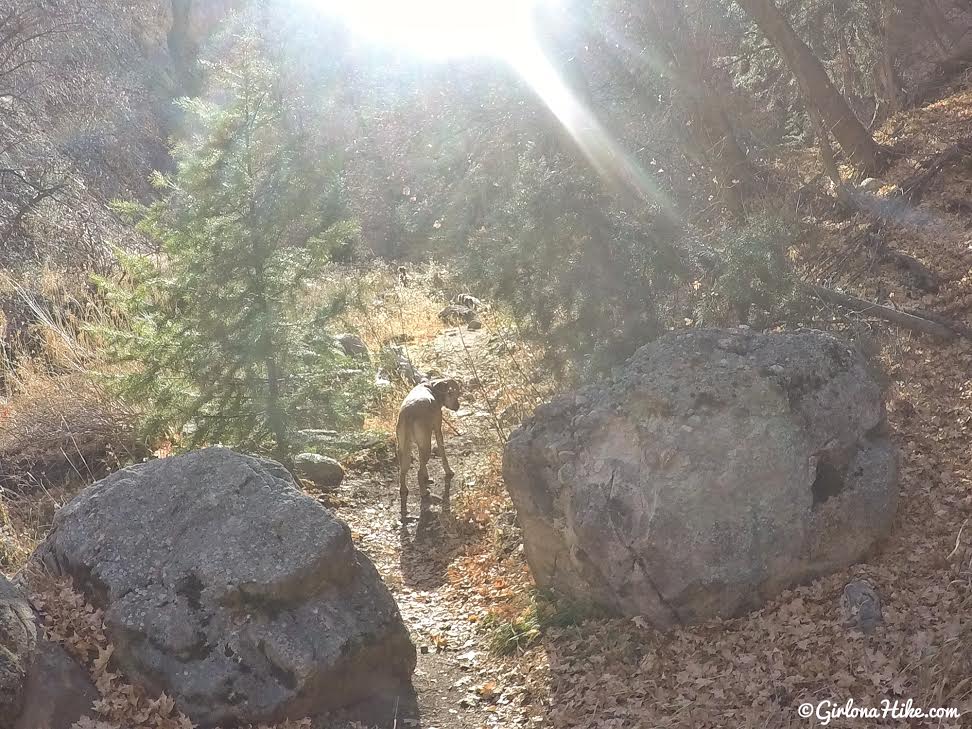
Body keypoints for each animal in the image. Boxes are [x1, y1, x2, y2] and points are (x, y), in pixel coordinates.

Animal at [396, 378, 462, 520]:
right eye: (452, 393)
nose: (457, 406)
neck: (432, 388)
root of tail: (408, 414)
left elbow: (422, 463)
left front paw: (427, 475)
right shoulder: (437, 430)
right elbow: (442, 452)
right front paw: (449, 471)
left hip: (404, 448)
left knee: (403, 471)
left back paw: (404, 489)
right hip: (426, 446)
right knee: (418, 473)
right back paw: (424, 492)